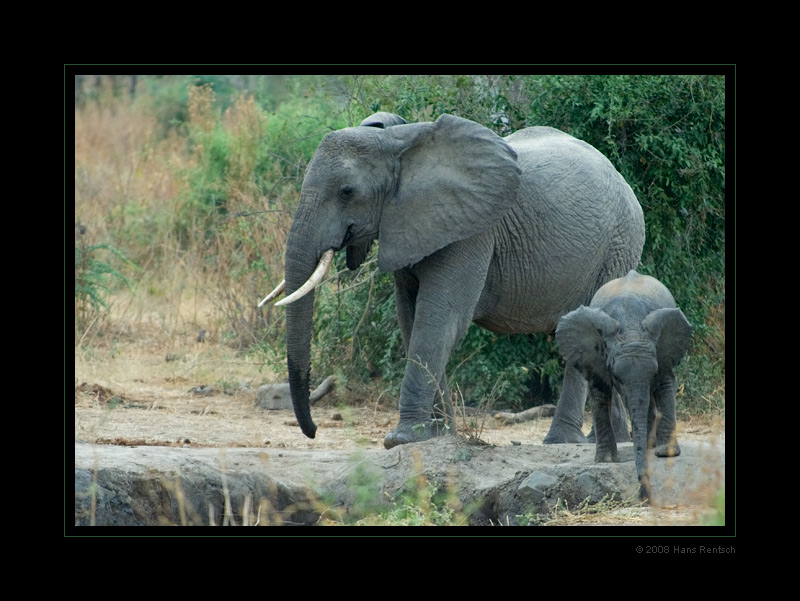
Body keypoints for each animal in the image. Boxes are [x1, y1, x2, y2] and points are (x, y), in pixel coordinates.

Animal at [260, 112, 648, 450]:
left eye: (347, 192)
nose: (312, 432)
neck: (399, 141)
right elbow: (411, 319)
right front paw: (437, 435)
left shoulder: (473, 230)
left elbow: (440, 319)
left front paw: (401, 439)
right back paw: (610, 440)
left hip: (619, 243)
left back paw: (562, 441)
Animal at [552, 270, 692, 500]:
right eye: (616, 376)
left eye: (652, 373)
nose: (644, 496)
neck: (631, 325)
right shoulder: (596, 356)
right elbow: (599, 394)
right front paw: (606, 461)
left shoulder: (664, 351)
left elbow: (665, 385)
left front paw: (666, 453)